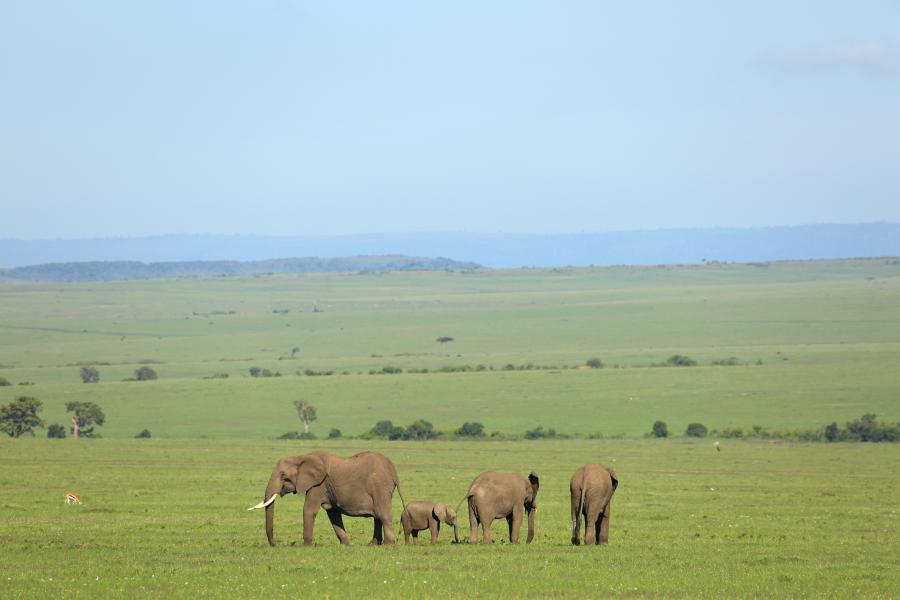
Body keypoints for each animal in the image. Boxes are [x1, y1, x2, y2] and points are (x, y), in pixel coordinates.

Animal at [246, 452, 404, 548]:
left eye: (284, 476)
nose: (276, 545)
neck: (301, 457)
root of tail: (393, 470)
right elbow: (333, 514)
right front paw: (346, 545)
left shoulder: (318, 485)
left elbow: (309, 510)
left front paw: (306, 546)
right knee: (377, 517)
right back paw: (372, 544)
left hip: (380, 487)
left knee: (383, 515)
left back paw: (388, 544)